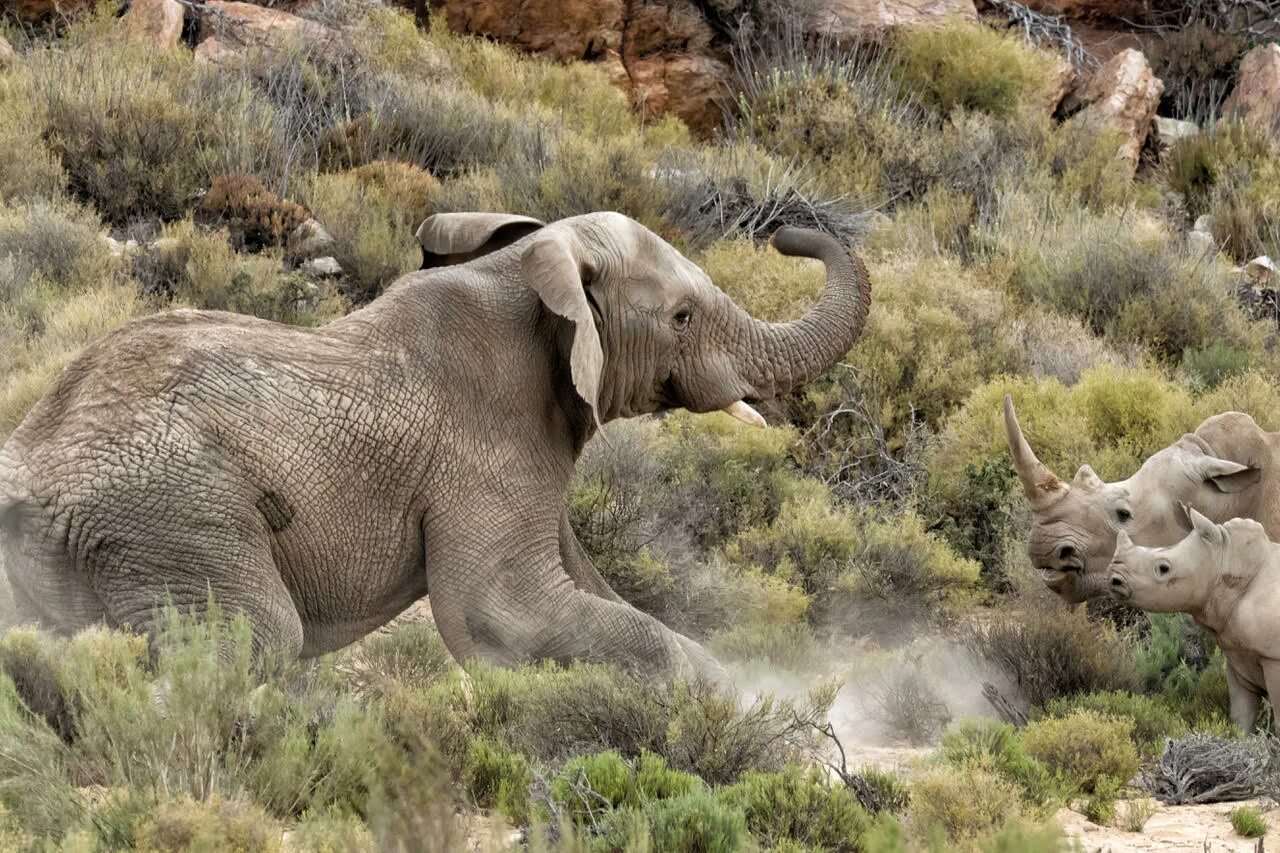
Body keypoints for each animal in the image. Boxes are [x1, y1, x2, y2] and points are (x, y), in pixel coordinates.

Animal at [0, 208, 870, 676]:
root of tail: (29, 463)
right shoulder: (484, 449)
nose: (788, 234)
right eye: (682, 317)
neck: (526, 272)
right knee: (256, 639)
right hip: (169, 516)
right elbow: (497, 613)